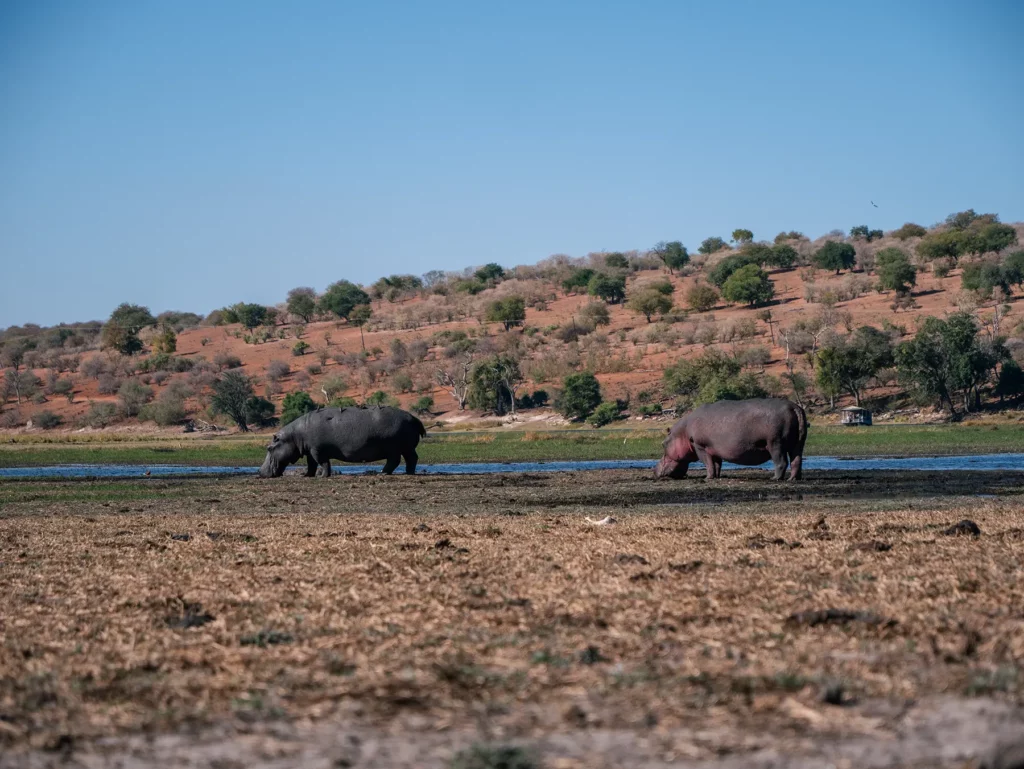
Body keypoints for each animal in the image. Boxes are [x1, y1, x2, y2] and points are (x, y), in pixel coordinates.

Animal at [258, 406, 426, 478]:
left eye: (269, 448)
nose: (260, 472)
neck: (293, 436)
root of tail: (414, 417)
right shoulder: (310, 451)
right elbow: (311, 464)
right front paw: (307, 475)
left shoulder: (317, 450)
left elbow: (323, 463)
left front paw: (322, 476)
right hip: (404, 448)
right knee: (409, 459)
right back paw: (403, 472)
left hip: (396, 448)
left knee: (399, 460)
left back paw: (387, 473)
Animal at [654, 398, 807, 481]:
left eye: (662, 444)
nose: (654, 469)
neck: (682, 433)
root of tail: (795, 407)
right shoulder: (713, 448)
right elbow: (716, 464)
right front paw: (716, 476)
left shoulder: (700, 446)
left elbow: (708, 463)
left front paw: (707, 478)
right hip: (798, 444)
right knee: (796, 460)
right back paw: (793, 478)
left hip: (775, 444)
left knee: (781, 462)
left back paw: (775, 478)